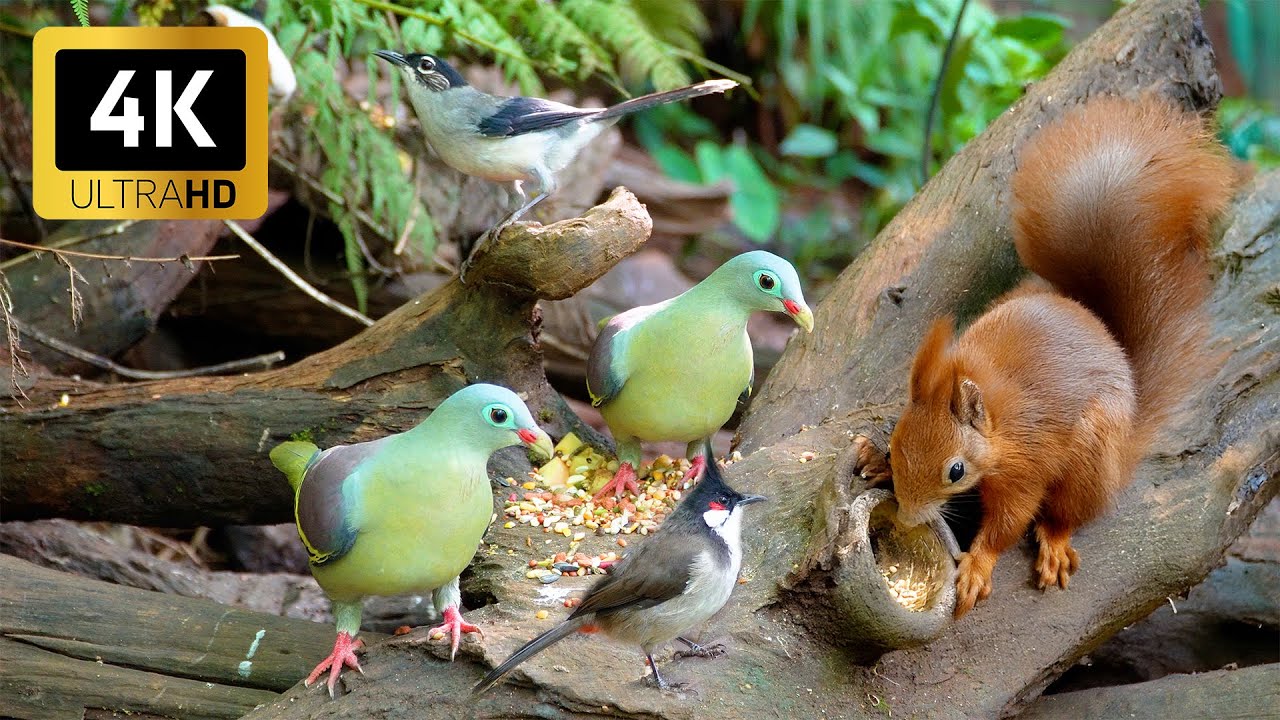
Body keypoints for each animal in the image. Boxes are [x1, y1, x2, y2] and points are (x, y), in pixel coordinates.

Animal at [854, 97, 1236, 619]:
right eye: (896, 443)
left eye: (956, 472)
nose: (910, 516)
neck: (996, 418)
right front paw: (875, 461)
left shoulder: (1028, 462)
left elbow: (1010, 520)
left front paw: (978, 566)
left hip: (1090, 457)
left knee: (1070, 512)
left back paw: (1055, 541)